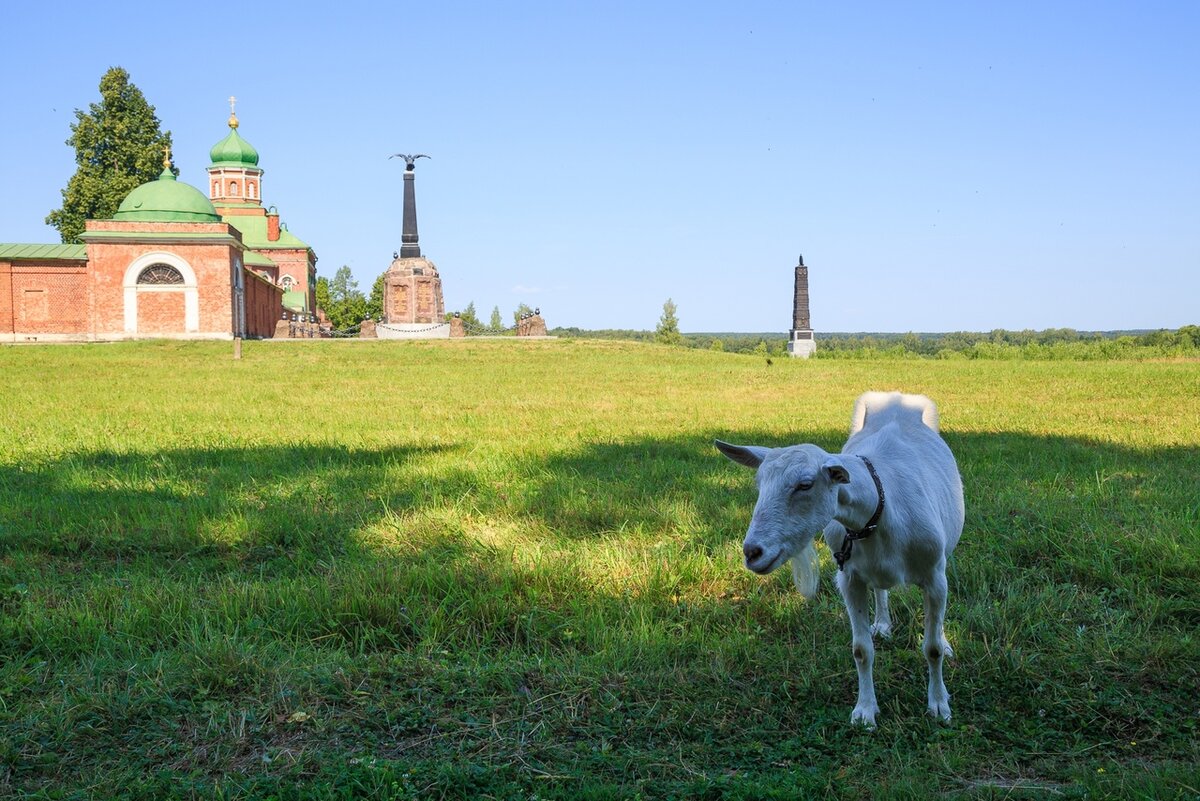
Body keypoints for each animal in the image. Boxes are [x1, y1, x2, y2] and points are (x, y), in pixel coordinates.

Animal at [710, 390, 964, 729]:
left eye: (805, 484)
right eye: (759, 484)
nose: (752, 552)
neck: (879, 509)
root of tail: (895, 396)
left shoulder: (933, 573)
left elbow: (932, 648)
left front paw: (938, 706)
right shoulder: (849, 578)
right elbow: (861, 650)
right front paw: (865, 712)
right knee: (880, 589)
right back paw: (882, 624)